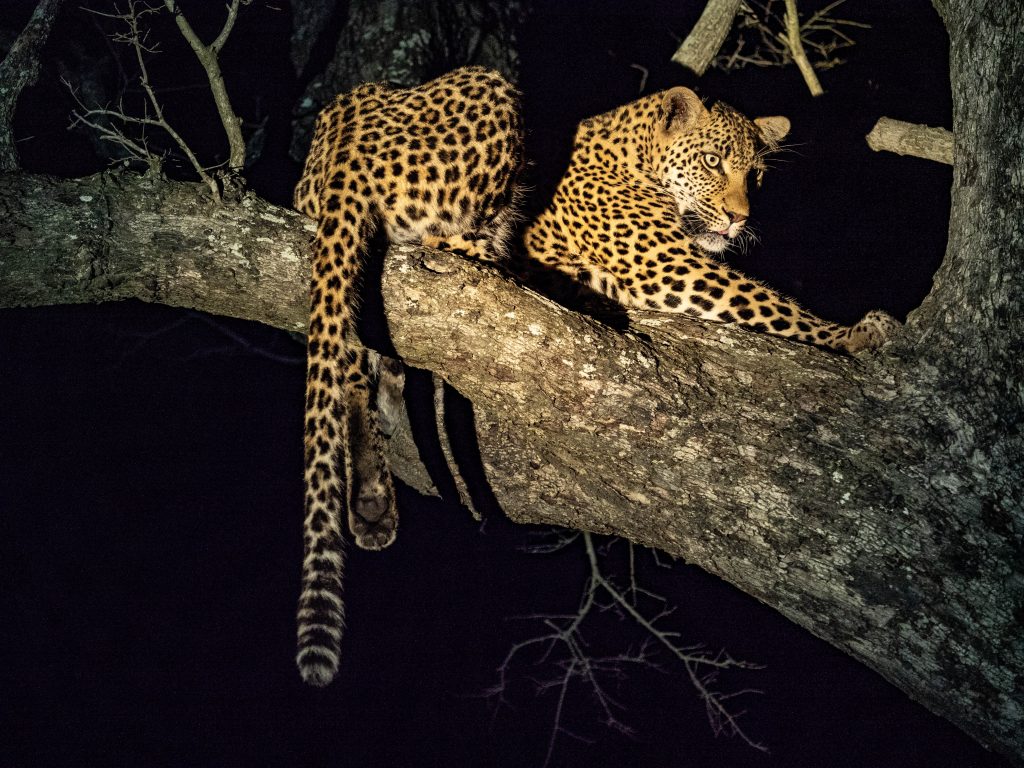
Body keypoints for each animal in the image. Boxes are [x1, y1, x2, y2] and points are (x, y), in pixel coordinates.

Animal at [523, 86, 900, 353]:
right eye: (712, 160)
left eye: (755, 175)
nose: (739, 218)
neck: (635, 158)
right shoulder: (671, 265)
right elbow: (769, 303)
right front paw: (857, 332)